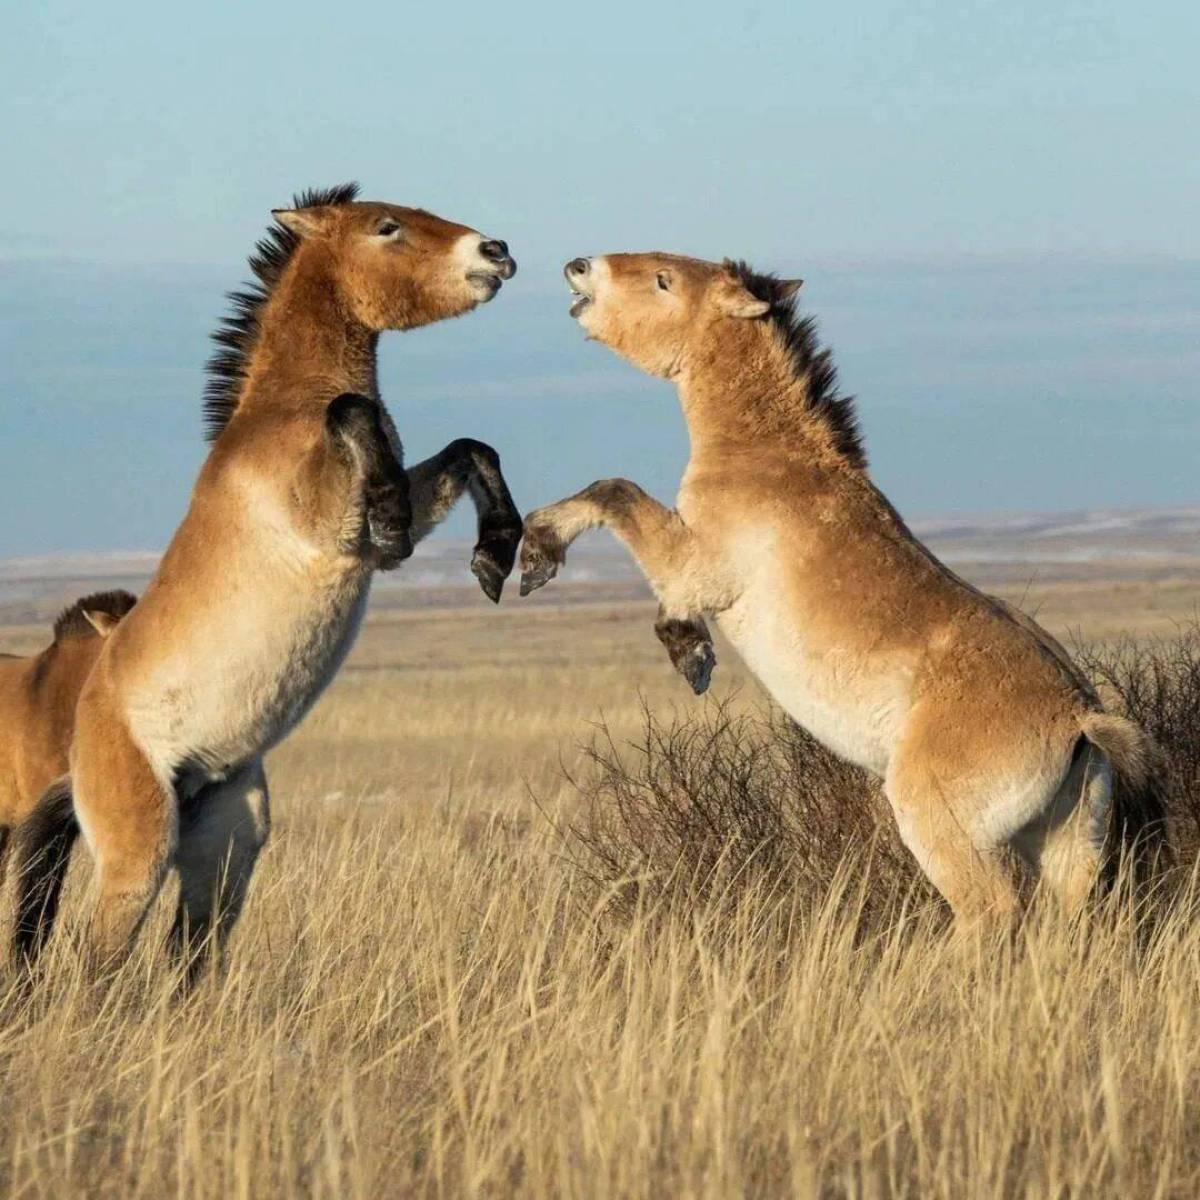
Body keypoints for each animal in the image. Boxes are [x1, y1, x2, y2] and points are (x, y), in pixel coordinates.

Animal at [14, 182, 520, 979]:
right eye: (387, 226)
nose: (494, 252)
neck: (285, 409)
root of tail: (84, 728)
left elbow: (472, 450)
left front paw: (496, 556)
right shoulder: (326, 517)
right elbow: (354, 410)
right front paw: (397, 515)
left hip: (228, 844)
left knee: (189, 957)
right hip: (137, 850)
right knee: (100, 962)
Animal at [520, 253, 1166, 926]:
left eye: (664, 281)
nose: (579, 267)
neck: (768, 458)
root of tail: (1081, 719)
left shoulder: (694, 564)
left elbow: (613, 492)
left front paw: (538, 555)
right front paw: (687, 648)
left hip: (943, 829)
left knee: (988, 911)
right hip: (1066, 849)